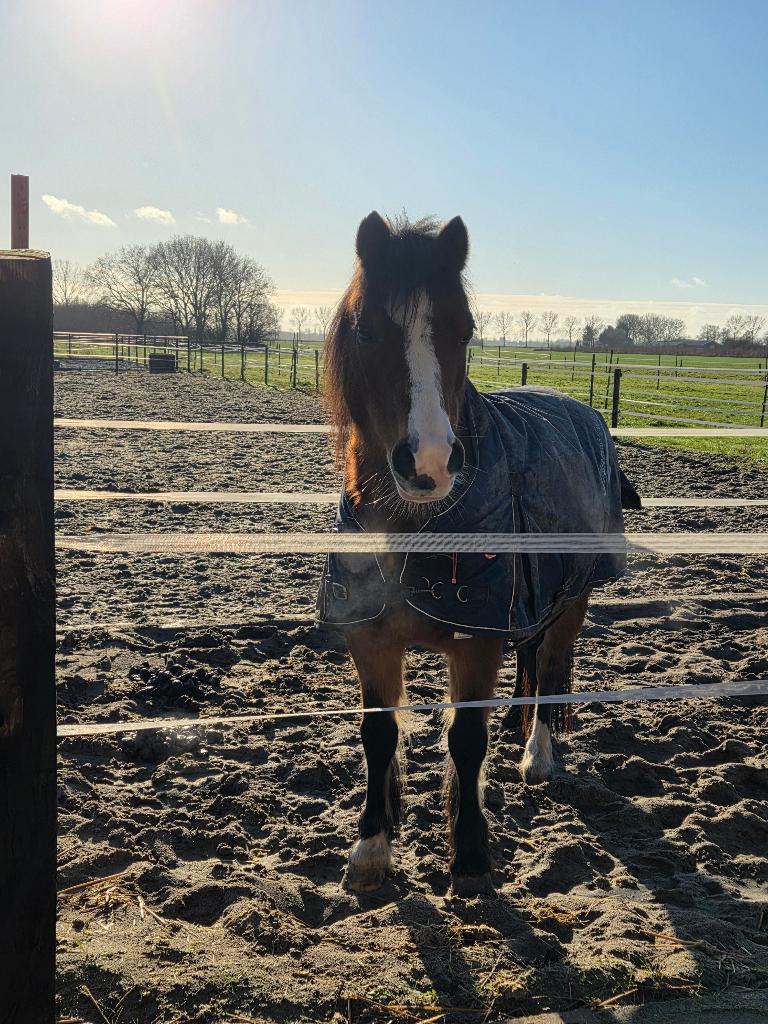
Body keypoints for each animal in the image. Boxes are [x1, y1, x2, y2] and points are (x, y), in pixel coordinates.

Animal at [318, 212, 640, 895]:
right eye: (368, 330)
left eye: (464, 329)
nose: (432, 463)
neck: (412, 529)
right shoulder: (370, 637)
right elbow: (378, 734)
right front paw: (372, 850)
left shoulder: (478, 639)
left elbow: (467, 739)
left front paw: (468, 856)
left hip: (573, 598)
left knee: (550, 670)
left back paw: (538, 759)